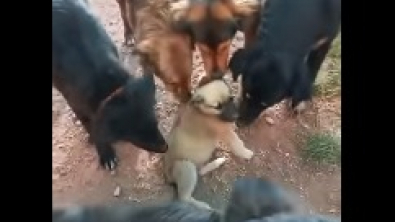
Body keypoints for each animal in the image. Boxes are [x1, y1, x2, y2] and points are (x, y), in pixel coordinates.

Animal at [52, 0, 167, 171]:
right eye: (134, 132)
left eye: (154, 121)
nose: (166, 147)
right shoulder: (74, 100)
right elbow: (91, 127)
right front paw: (107, 157)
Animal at [163, 76, 254, 210]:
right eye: (218, 107)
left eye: (231, 99)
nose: (236, 115)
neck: (204, 111)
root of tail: (167, 176)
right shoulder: (225, 133)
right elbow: (237, 143)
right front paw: (246, 153)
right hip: (186, 166)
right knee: (184, 198)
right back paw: (203, 206)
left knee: (201, 171)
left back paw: (218, 162)